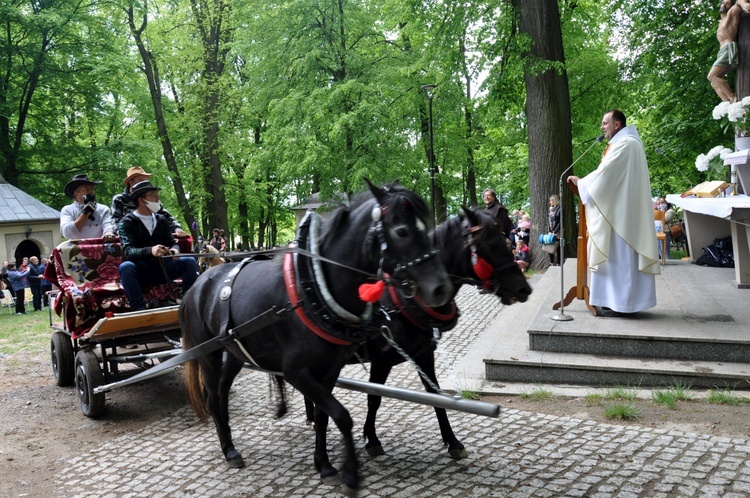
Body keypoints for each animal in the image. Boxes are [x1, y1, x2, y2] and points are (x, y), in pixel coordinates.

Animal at [181, 181, 452, 488]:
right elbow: (342, 415)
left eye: (426, 227)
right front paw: (350, 471)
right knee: (213, 398)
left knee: (223, 392)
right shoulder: (295, 372)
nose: (441, 289)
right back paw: (229, 450)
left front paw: (324, 464)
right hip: (209, 355)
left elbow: (324, 416)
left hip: (235, 353)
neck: (311, 286)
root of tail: (199, 283)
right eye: (402, 231)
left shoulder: (330, 369)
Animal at [302, 204, 532, 462]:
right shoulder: (381, 360)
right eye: (493, 244)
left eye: (506, 240)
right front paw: (372, 438)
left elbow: (436, 395)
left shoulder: (424, 355)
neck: (405, 301)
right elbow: (374, 398)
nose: (524, 289)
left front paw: (453, 442)